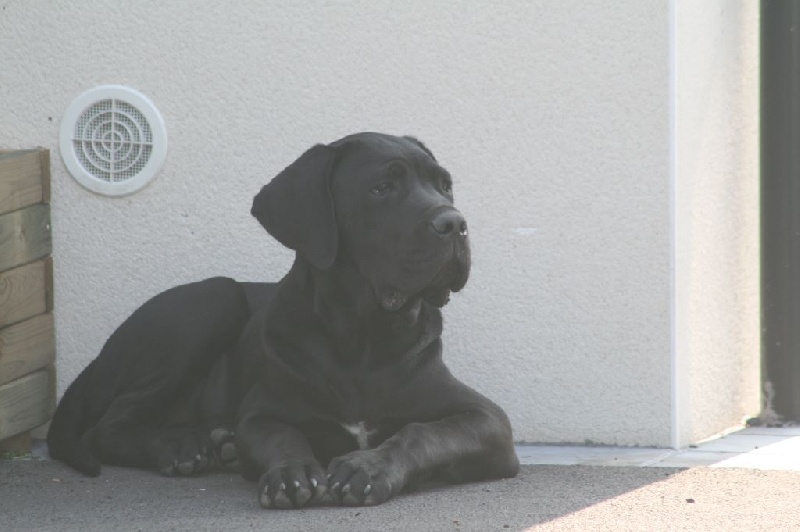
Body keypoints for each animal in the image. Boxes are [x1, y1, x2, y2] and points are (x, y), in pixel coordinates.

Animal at [48, 132, 520, 508]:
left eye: (445, 186)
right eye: (382, 188)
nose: (454, 222)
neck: (363, 335)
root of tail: (99, 359)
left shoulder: (488, 420)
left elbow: (422, 433)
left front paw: (367, 469)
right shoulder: (262, 412)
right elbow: (281, 436)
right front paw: (291, 472)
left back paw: (217, 444)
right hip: (213, 298)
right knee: (106, 427)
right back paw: (180, 446)